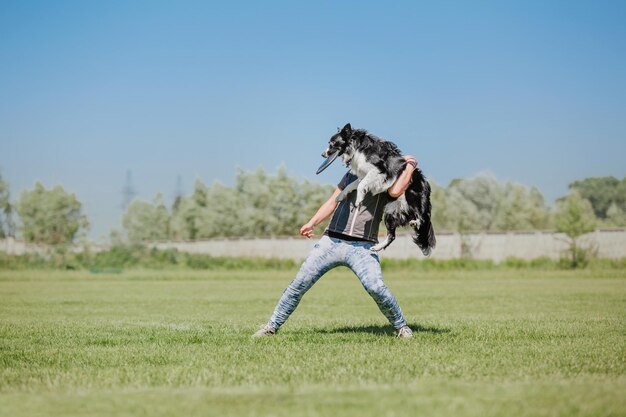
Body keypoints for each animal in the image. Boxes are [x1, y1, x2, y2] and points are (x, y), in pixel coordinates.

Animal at [320, 122, 432, 255]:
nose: (322, 154)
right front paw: (341, 195)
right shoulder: (363, 174)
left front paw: (359, 199)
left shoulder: (378, 170)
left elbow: (361, 185)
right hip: (390, 212)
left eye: (332, 143)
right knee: (392, 235)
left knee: (422, 217)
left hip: (412, 196)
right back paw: (377, 247)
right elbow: (351, 185)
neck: (357, 147)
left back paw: (416, 222)